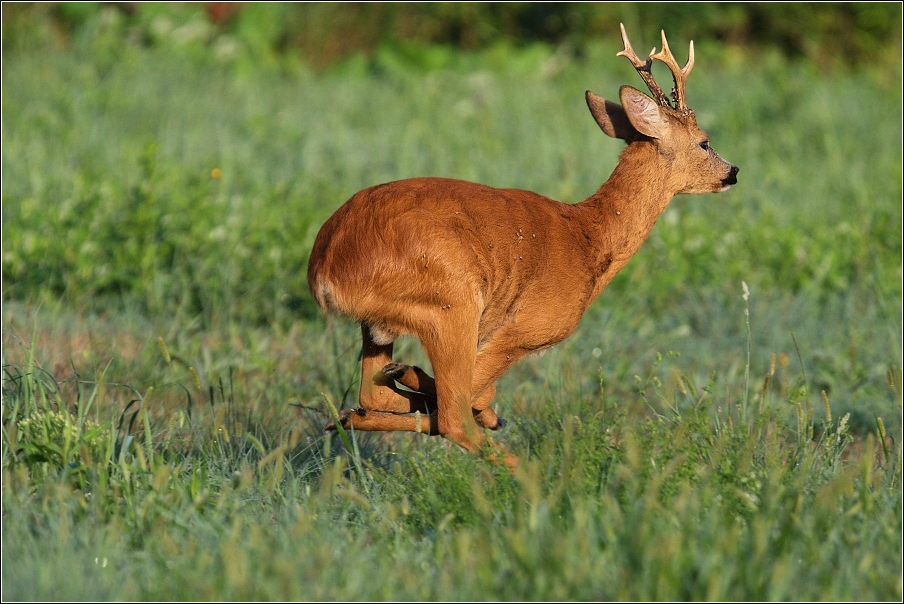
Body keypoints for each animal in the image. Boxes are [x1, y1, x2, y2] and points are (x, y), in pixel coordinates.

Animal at [308, 24, 740, 468]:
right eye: (704, 142)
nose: (733, 172)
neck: (588, 239)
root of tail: (326, 268)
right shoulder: (524, 329)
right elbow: (473, 392)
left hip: (381, 325)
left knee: (374, 392)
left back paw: (353, 411)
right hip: (450, 303)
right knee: (452, 415)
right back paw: (531, 475)